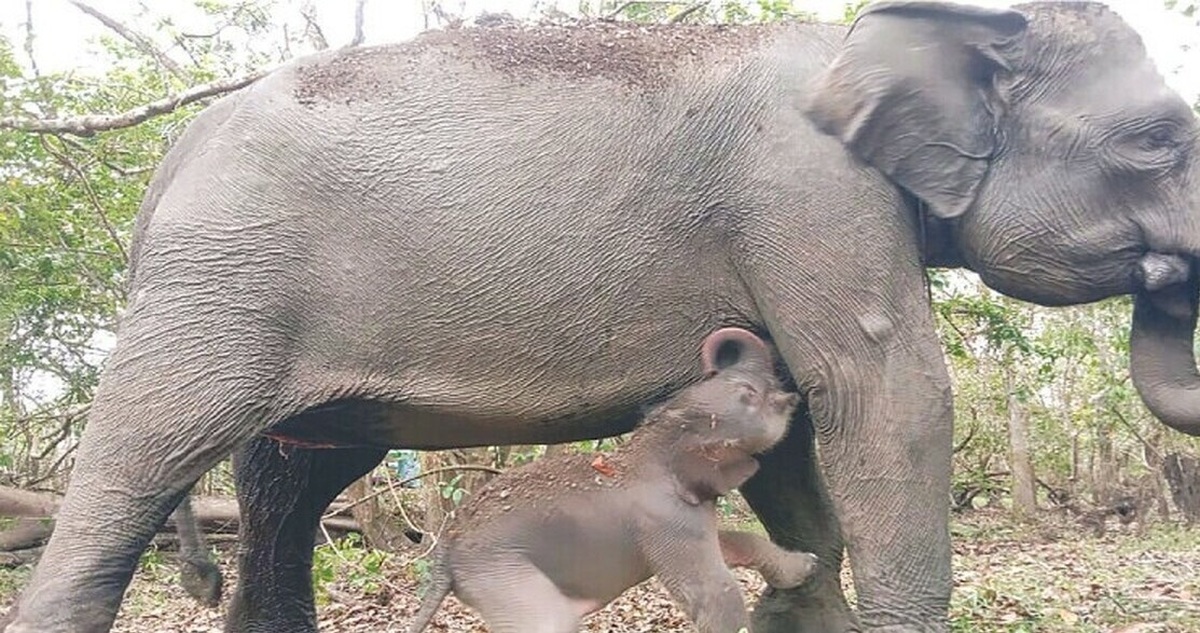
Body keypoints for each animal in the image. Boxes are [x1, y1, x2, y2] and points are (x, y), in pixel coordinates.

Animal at [403, 326, 816, 633]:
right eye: (748, 396)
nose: (720, 348)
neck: (652, 444)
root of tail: (445, 551)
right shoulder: (665, 520)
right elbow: (714, 593)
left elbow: (732, 541)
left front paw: (808, 566)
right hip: (500, 573)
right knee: (550, 622)